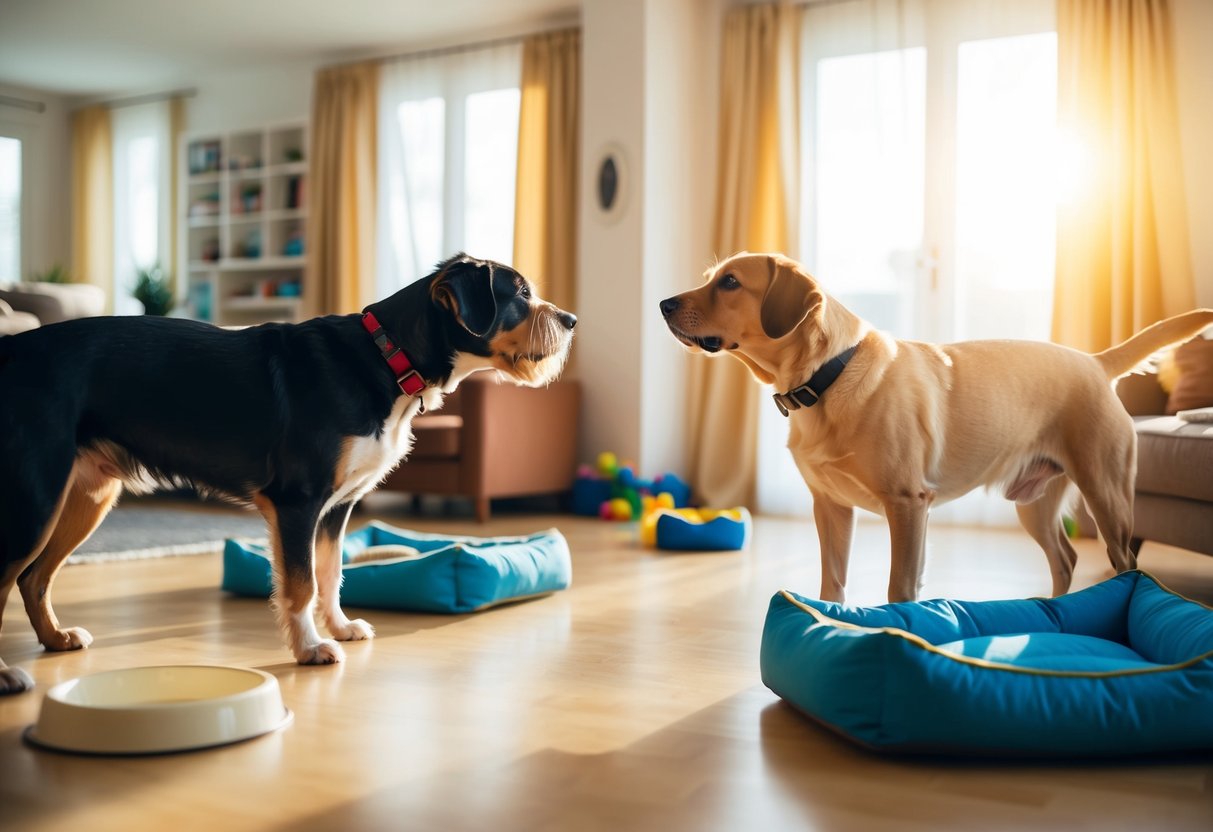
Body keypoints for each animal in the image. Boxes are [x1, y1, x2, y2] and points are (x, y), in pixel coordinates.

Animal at [0, 254, 574, 698]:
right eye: (519, 294)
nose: (570, 319)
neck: (386, 358)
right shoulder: (298, 501)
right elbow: (300, 583)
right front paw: (311, 647)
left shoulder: (337, 508)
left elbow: (331, 574)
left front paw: (339, 628)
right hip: (34, 497)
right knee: (13, 577)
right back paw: (8, 674)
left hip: (87, 495)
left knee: (34, 578)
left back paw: (55, 638)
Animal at [664, 251, 1213, 608]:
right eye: (711, 277)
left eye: (730, 283)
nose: (664, 304)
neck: (826, 377)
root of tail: (1096, 363)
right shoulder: (831, 506)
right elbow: (833, 583)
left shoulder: (907, 504)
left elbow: (899, 587)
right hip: (1035, 505)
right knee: (1066, 559)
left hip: (1106, 494)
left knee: (1125, 565)